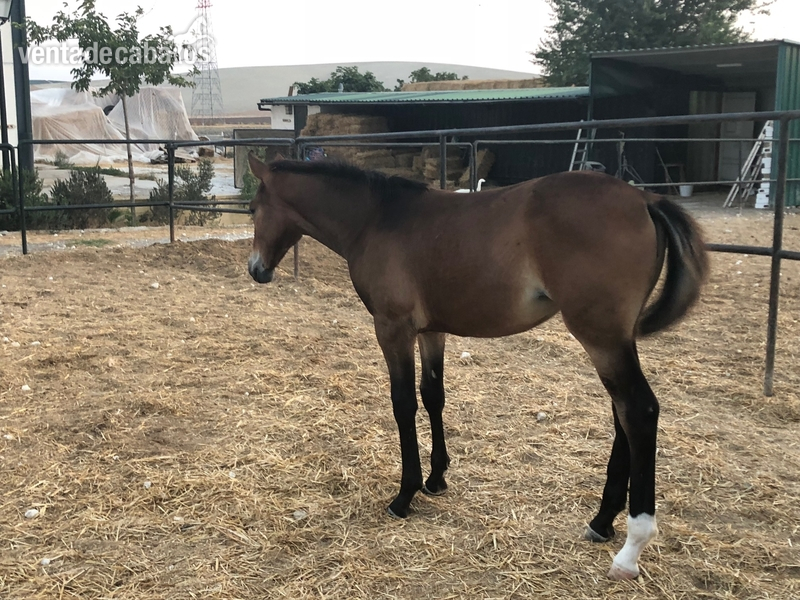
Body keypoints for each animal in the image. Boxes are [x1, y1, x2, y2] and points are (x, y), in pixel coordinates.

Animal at [245, 153, 709, 580]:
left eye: (252, 208)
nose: (256, 269)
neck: (377, 219)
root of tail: (645, 198)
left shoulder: (393, 329)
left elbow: (403, 405)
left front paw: (405, 495)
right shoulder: (431, 330)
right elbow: (433, 396)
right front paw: (436, 479)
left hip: (601, 337)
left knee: (639, 411)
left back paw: (630, 549)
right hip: (615, 339)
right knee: (622, 416)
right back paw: (601, 522)